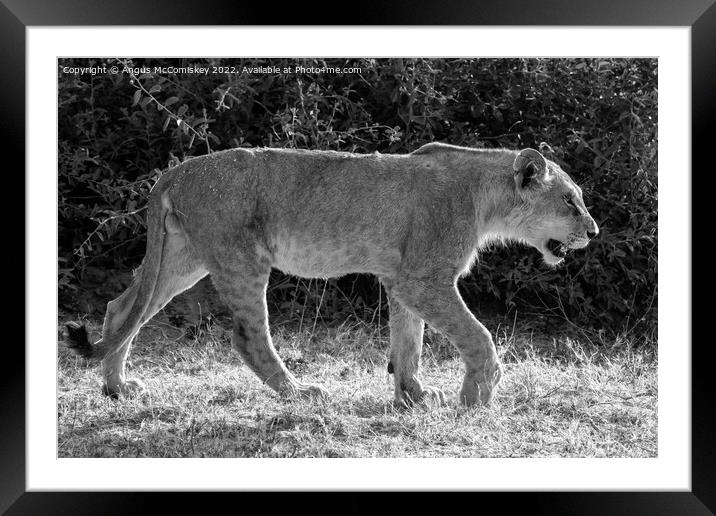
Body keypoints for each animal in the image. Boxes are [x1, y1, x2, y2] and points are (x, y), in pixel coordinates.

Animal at [65, 142, 600, 408]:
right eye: (570, 201)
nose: (594, 231)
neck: (487, 198)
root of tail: (175, 171)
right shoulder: (425, 278)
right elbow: (478, 336)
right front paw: (476, 397)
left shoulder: (402, 279)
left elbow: (408, 342)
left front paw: (413, 396)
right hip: (241, 256)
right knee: (247, 336)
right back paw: (299, 393)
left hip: (182, 258)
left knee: (121, 310)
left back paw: (117, 388)